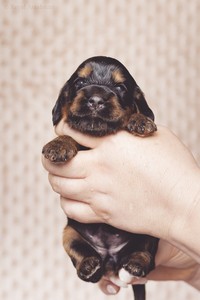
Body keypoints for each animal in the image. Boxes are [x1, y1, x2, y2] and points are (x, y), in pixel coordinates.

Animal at [42, 56, 159, 300]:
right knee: (81, 255)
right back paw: (89, 265)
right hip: (68, 232)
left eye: (120, 87)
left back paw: (135, 262)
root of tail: (111, 258)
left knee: (144, 254)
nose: (95, 100)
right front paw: (58, 144)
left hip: (148, 231)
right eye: (79, 82)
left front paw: (140, 119)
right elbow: (71, 136)